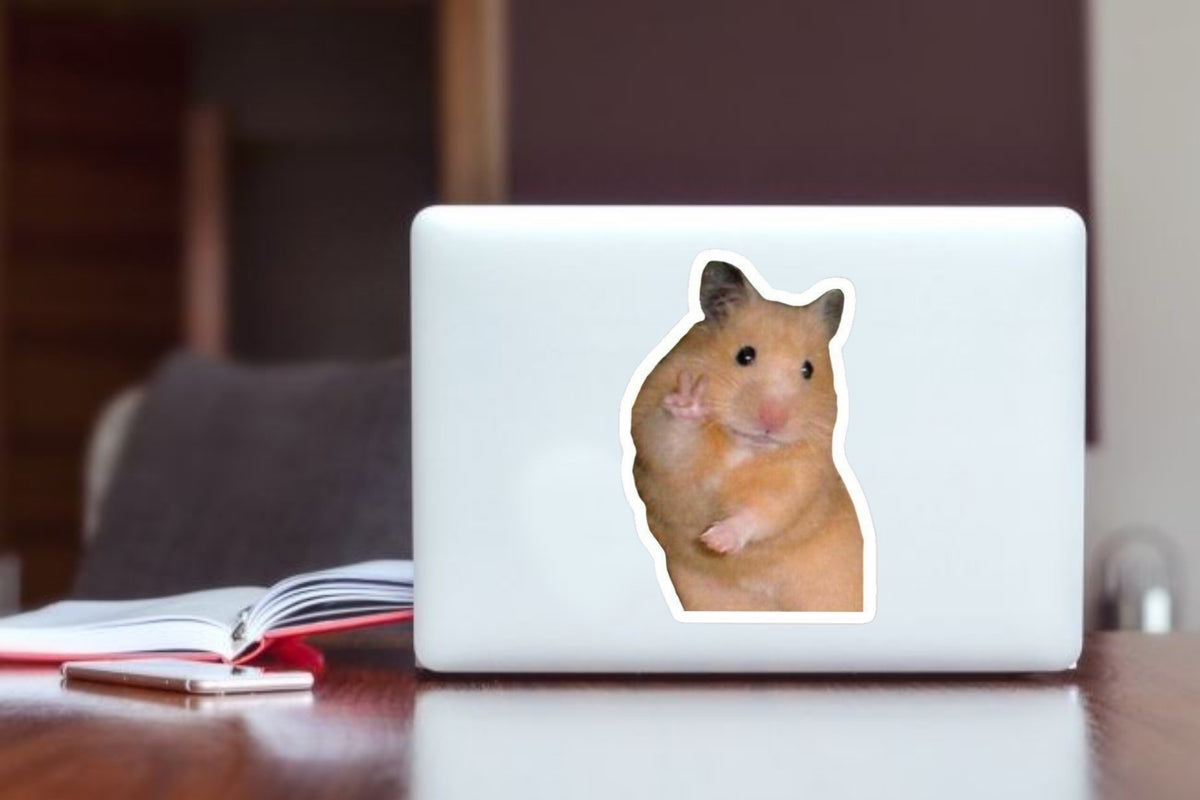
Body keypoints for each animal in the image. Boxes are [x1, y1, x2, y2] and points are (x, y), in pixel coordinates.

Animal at [630, 261, 863, 612]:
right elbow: (673, 440)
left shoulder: (801, 477)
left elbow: (765, 511)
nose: (772, 422)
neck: (743, 446)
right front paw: (689, 399)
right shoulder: (653, 439)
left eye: (808, 370)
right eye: (744, 355)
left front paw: (714, 541)